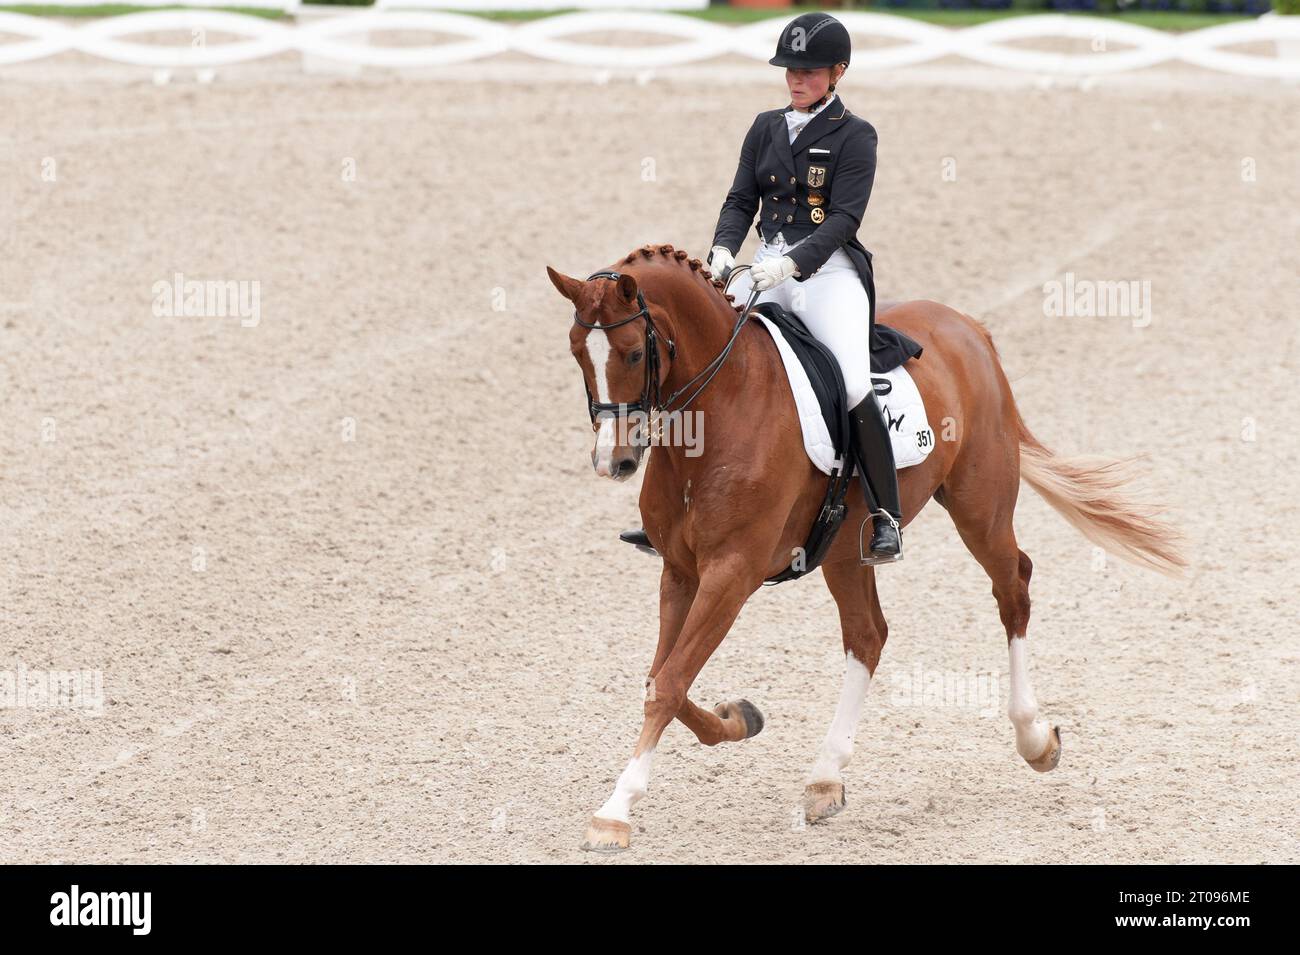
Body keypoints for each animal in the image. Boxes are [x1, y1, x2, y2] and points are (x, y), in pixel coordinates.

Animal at [543, 240, 1185, 852]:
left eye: (632, 353)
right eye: (576, 352)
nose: (614, 462)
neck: (722, 408)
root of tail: (966, 326)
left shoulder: (731, 573)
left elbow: (670, 683)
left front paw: (614, 813)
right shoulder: (680, 571)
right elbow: (662, 681)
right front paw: (738, 718)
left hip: (980, 507)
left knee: (1013, 590)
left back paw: (1035, 739)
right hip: (845, 550)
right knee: (869, 634)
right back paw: (826, 778)